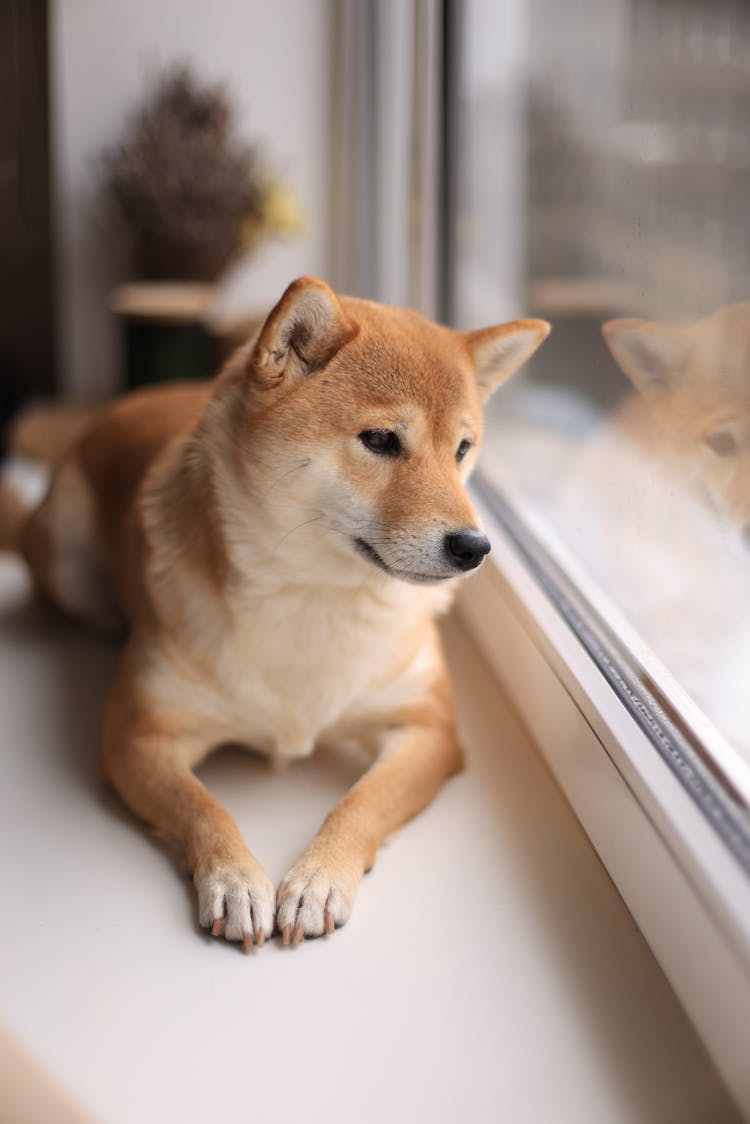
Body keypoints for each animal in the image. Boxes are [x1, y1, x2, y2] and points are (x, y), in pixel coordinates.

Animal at [2, 276, 548, 944]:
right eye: (381, 440)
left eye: (463, 450)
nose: (475, 547)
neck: (312, 597)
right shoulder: (135, 740)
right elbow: (204, 808)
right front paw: (234, 880)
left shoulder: (429, 731)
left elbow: (360, 802)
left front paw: (319, 877)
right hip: (65, 560)